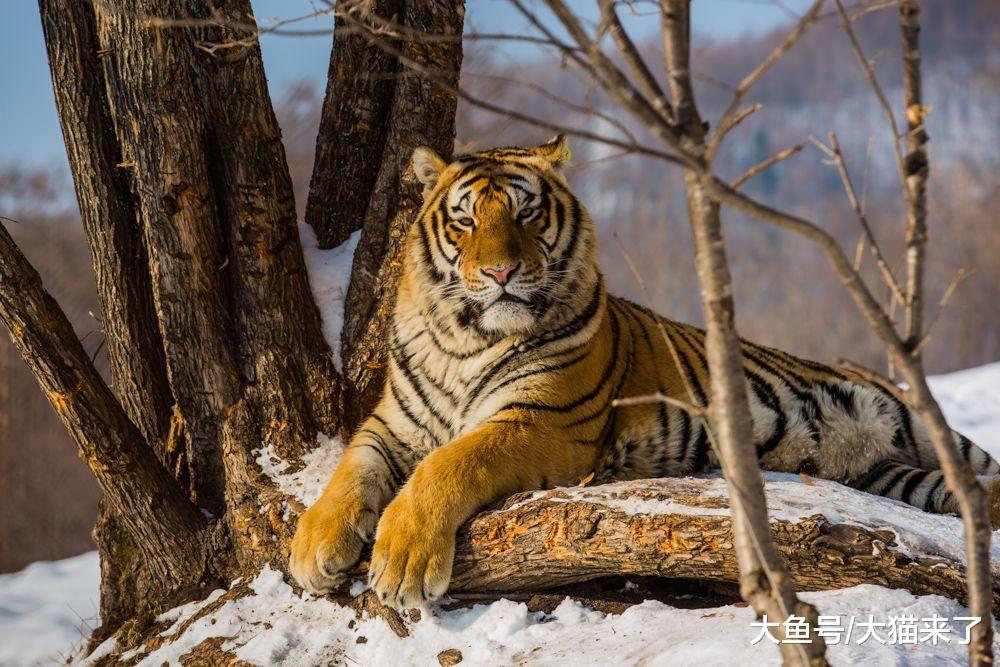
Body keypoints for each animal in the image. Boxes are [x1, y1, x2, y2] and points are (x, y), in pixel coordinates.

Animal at [290, 135, 1000, 610]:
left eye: (525, 213)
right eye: (465, 219)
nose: (500, 272)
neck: (465, 340)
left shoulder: (541, 422)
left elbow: (451, 464)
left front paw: (403, 562)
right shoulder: (393, 424)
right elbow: (352, 469)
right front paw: (313, 548)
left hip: (913, 421)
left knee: (976, 469)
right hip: (890, 475)